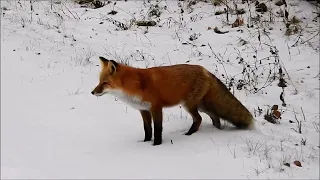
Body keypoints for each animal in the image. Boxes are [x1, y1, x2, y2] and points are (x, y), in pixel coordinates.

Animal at [91, 57, 254, 146]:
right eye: (99, 81)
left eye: (105, 83)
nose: (92, 92)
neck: (136, 85)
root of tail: (205, 70)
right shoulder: (143, 110)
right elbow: (147, 129)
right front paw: (144, 143)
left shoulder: (156, 108)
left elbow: (157, 129)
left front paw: (156, 145)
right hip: (201, 105)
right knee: (215, 117)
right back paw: (215, 131)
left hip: (189, 105)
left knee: (199, 119)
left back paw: (189, 135)